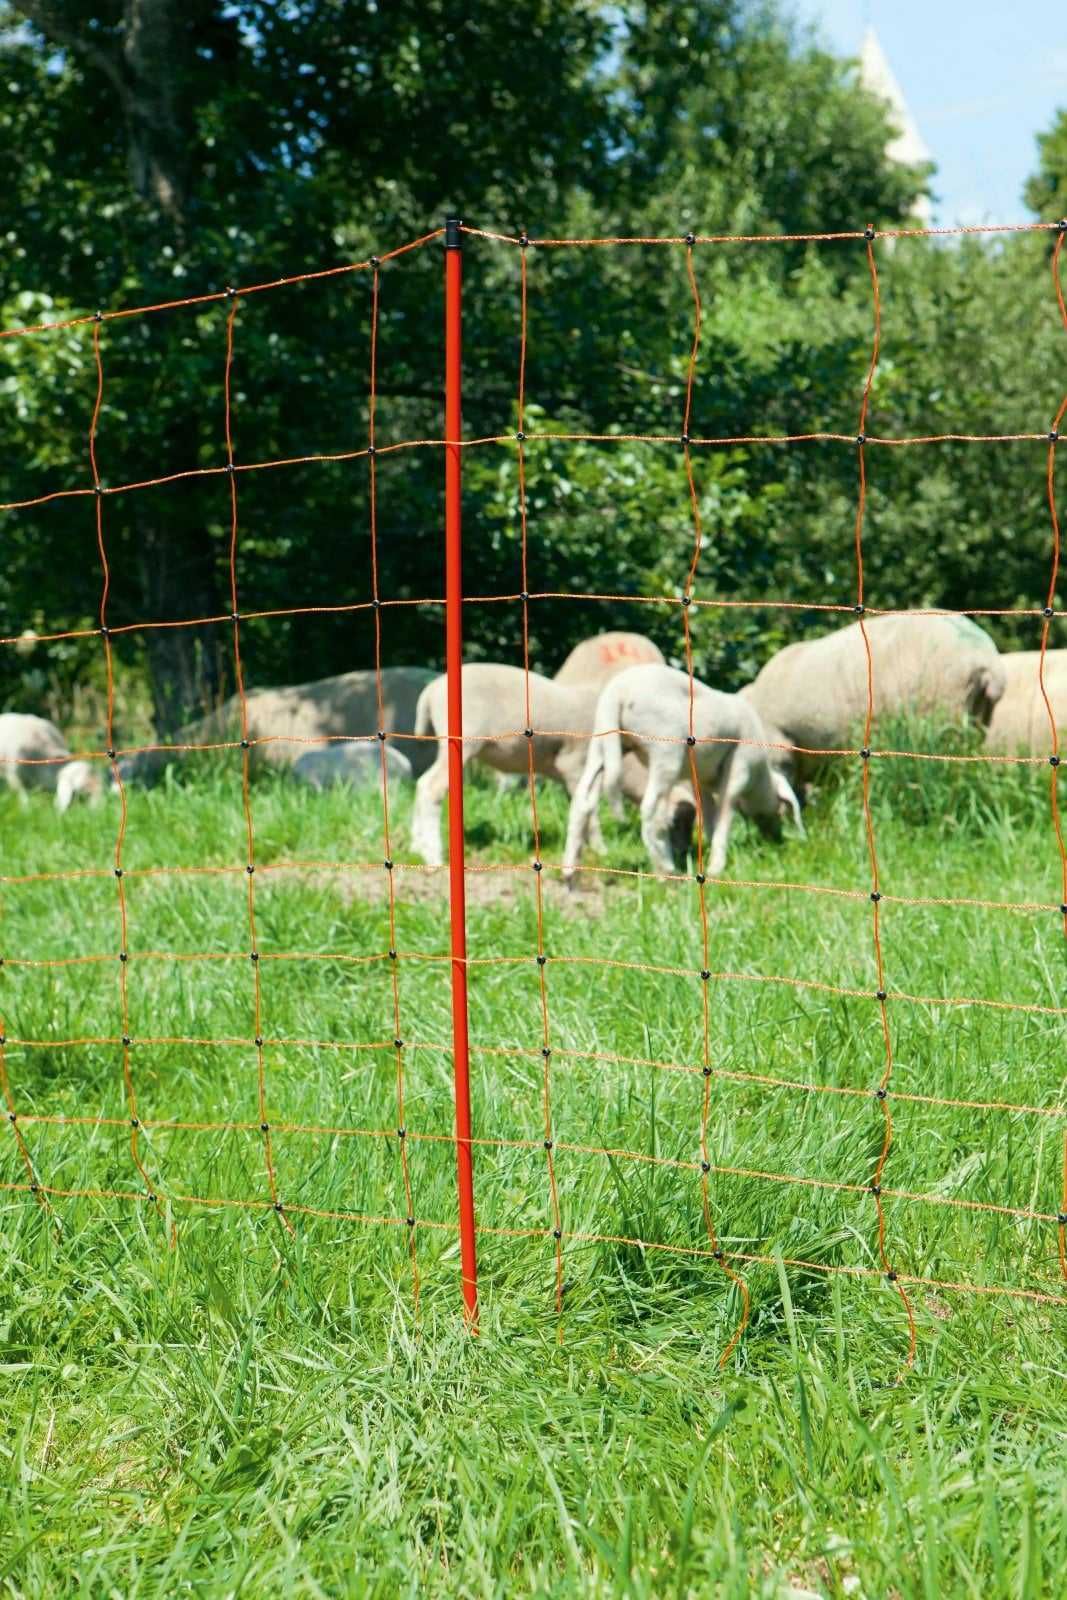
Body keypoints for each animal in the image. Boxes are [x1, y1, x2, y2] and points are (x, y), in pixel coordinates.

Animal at [566, 668, 799, 883]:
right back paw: (665, 869)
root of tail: (616, 693)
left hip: (603, 743)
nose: (775, 838)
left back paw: (569, 869)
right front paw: (717, 866)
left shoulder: (702, 780)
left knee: (582, 800)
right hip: (665, 751)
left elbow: (709, 813)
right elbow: (725, 815)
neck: (760, 779)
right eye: (781, 808)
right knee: (651, 810)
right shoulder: (738, 769)